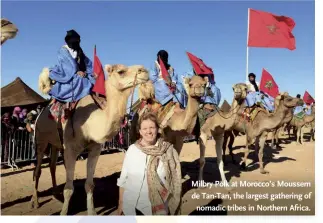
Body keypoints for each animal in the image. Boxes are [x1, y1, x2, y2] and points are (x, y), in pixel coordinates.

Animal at [31, 64, 151, 214]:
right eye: (121, 71)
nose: (144, 71)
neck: (90, 124)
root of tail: (41, 113)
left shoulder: (95, 149)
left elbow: (89, 185)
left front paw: (92, 211)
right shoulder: (70, 150)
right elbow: (68, 188)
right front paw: (63, 213)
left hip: (55, 144)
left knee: (52, 165)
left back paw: (55, 194)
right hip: (41, 140)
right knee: (38, 170)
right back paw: (35, 202)